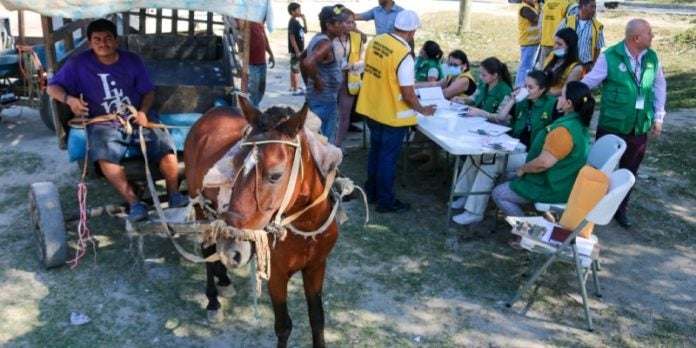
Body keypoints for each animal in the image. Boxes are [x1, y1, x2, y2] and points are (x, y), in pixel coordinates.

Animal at [182, 96, 340, 348]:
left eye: (275, 175)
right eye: (234, 163)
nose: (232, 248)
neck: (305, 228)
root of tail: (211, 113)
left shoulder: (316, 266)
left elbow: (317, 318)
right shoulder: (276, 275)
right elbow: (284, 326)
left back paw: (224, 278)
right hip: (200, 208)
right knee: (208, 250)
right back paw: (213, 301)